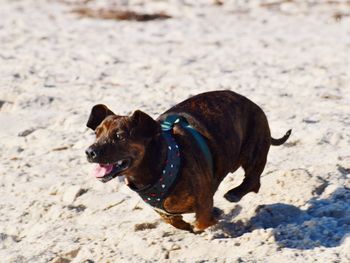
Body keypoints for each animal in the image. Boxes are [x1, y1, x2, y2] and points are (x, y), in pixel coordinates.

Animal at [86, 91, 292, 233]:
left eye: (119, 136)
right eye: (96, 133)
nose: (89, 152)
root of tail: (254, 105)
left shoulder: (204, 201)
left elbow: (202, 221)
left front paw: (212, 219)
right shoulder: (162, 211)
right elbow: (173, 220)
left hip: (253, 151)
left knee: (254, 180)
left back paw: (234, 193)